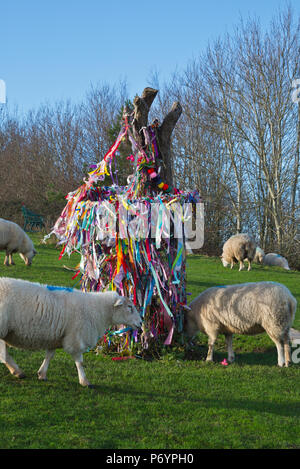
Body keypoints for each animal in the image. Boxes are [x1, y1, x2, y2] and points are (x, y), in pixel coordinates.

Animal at [0, 276, 142, 386]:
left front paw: (42, 374)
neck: (98, 310)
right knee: (3, 354)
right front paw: (84, 381)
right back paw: (17, 371)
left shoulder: (56, 336)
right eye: (130, 307)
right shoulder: (76, 337)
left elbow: (49, 355)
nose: (141, 323)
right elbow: (80, 362)